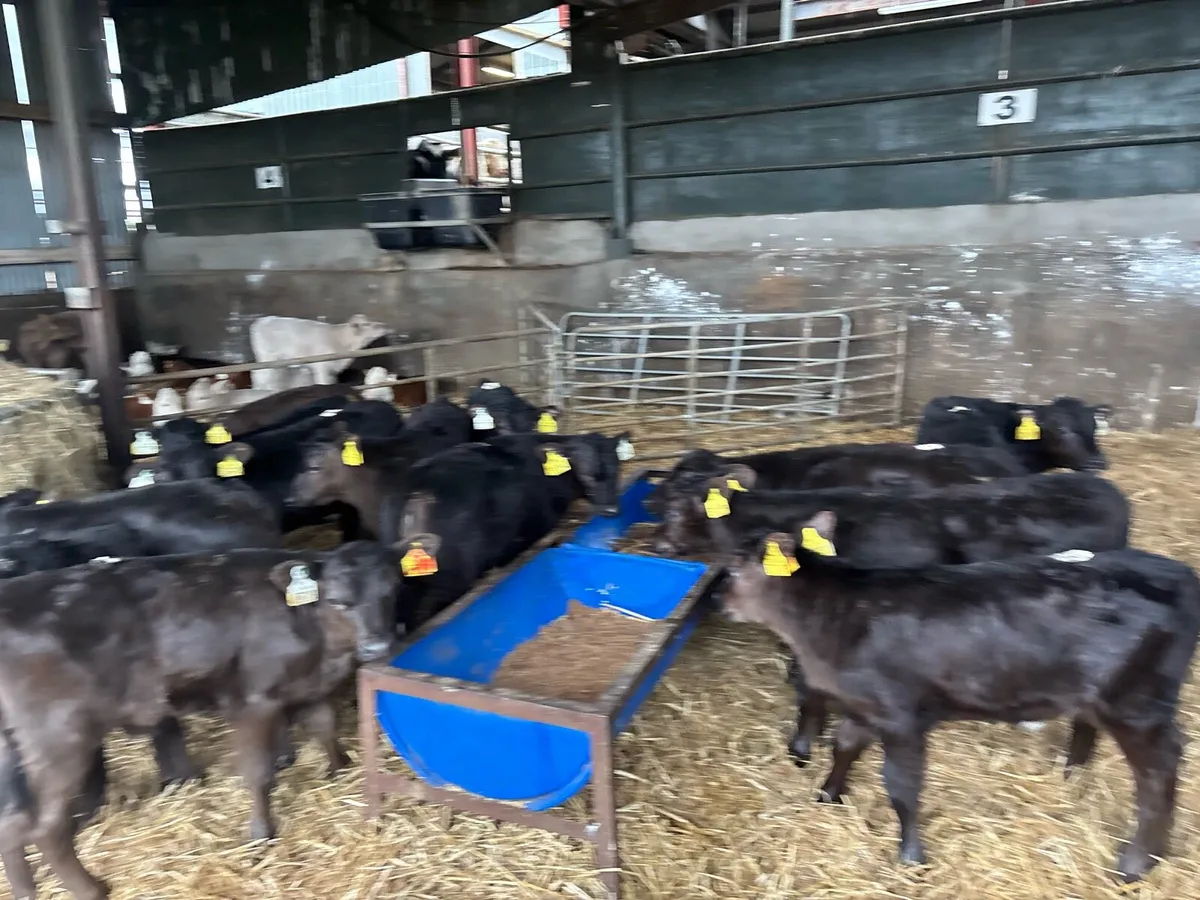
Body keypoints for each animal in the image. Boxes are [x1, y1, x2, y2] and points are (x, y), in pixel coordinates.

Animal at [0, 540, 399, 900]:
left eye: (392, 591)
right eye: (338, 600)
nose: (378, 647)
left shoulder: (308, 686)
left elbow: (325, 724)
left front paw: (338, 768)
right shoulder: (255, 700)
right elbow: (259, 773)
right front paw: (260, 835)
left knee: (12, 822)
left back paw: (26, 892)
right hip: (60, 740)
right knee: (46, 827)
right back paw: (91, 889)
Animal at [248, 314, 391, 391]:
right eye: (367, 324)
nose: (385, 326)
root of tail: (261, 320)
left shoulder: (332, 370)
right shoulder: (321, 366)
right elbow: (323, 383)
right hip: (266, 357)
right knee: (260, 374)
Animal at [719, 534, 1199, 883]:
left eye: (734, 568)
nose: (718, 604)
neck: (833, 615)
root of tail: (1176, 570)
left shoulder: (901, 717)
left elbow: (902, 787)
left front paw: (911, 856)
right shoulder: (863, 706)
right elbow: (845, 746)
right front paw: (829, 794)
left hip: (1135, 704)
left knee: (1159, 770)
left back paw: (1137, 863)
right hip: (1099, 697)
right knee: (1090, 728)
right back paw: (1072, 775)